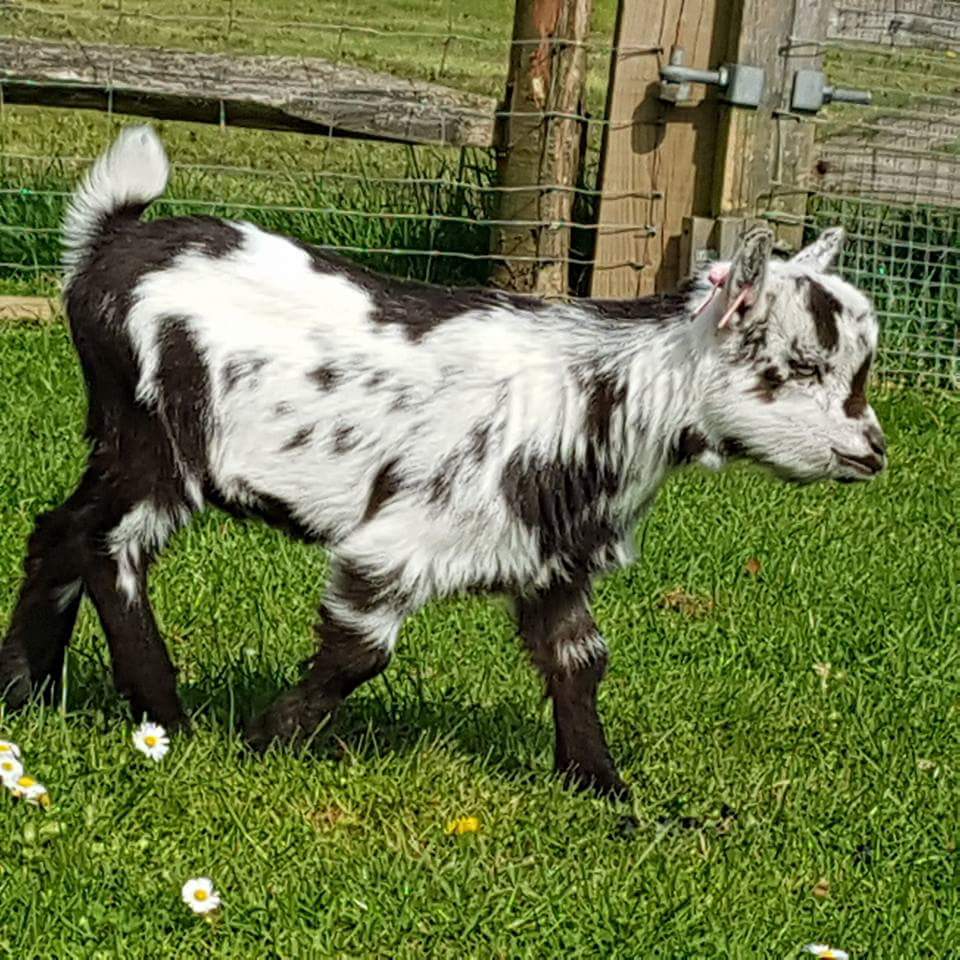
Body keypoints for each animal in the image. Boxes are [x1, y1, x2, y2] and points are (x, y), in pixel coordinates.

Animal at [0, 127, 886, 799]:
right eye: (803, 365)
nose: (872, 451)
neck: (603, 393)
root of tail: (112, 240)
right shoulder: (402, 543)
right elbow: (360, 650)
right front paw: (265, 740)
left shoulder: (553, 562)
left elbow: (580, 662)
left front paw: (606, 791)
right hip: (157, 442)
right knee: (109, 545)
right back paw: (165, 711)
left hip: (121, 443)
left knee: (58, 530)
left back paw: (26, 692)